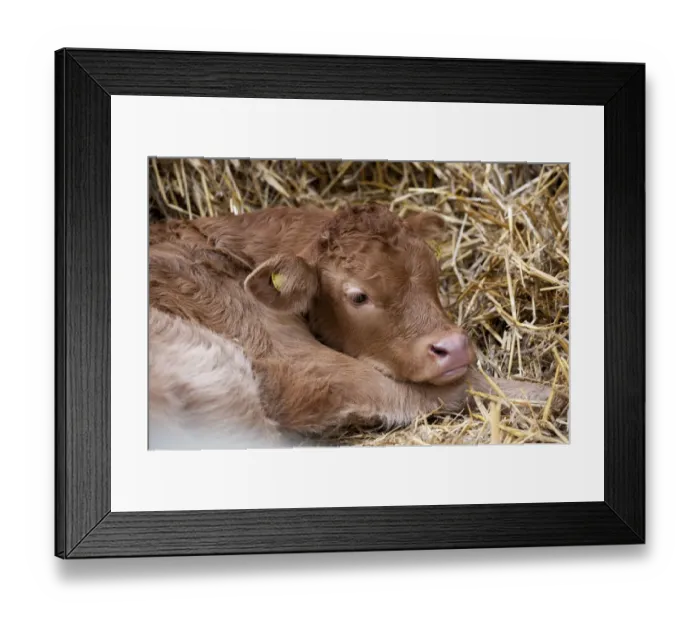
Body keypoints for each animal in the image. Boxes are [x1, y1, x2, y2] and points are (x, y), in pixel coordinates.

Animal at [149, 204, 554, 447]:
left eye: (435, 274)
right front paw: (546, 394)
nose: (453, 348)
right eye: (359, 297)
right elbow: (446, 390)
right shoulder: (297, 367)